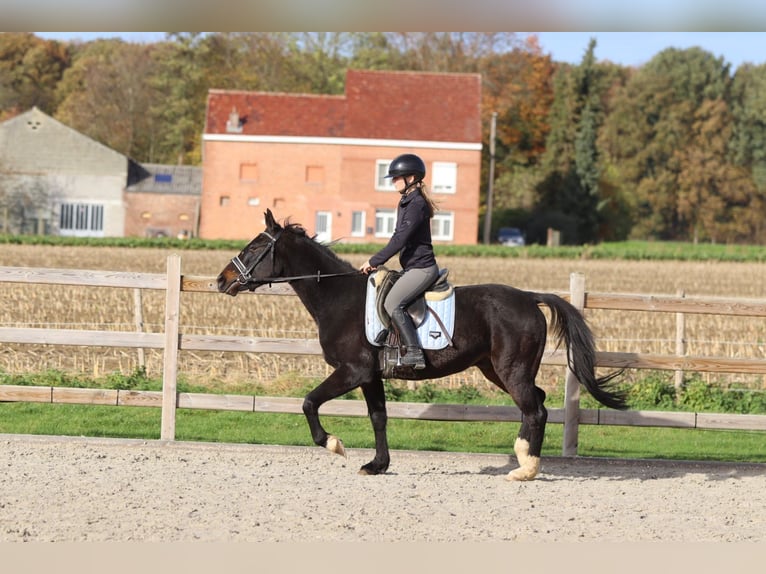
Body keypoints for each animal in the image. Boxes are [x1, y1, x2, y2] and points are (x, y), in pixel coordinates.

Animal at [217, 209, 627, 481]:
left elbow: (309, 402)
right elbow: (378, 417)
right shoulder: (370, 376)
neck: (337, 297)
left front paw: (333, 444)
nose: (222, 281)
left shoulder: (352, 371)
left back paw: (525, 469)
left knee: (535, 409)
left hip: (511, 370)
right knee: (535, 404)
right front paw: (377, 465)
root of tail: (529, 297)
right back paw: (526, 459)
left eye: (255, 246)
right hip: (495, 369)